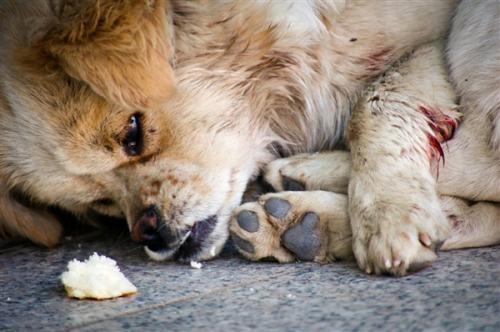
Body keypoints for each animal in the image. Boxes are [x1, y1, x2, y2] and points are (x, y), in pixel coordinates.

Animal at [1, 0, 498, 274]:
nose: (148, 231)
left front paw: (390, 212)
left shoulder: (435, 38)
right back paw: (302, 220)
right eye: (101, 201)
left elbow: (373, 104)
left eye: (133, 133)